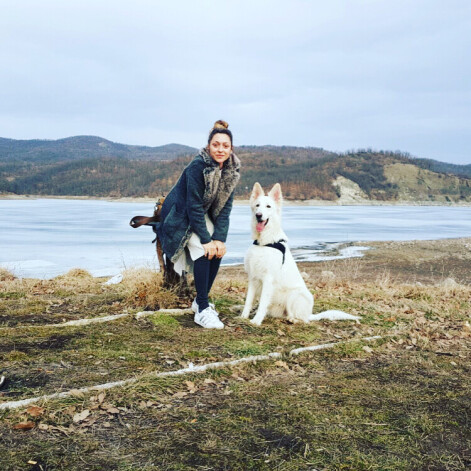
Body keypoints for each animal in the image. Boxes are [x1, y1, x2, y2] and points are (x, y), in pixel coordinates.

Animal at [242, 183, 360, 326]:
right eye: (257, 205)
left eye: (268, 206)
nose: (258, 215)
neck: (264, 243)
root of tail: (310, 314)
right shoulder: (253, 278)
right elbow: (248, 301)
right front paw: (243, 317)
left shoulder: (268, 279)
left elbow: (262, 303)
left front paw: (256, 321)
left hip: (294, 295)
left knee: (303, 319)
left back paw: (293, 319)